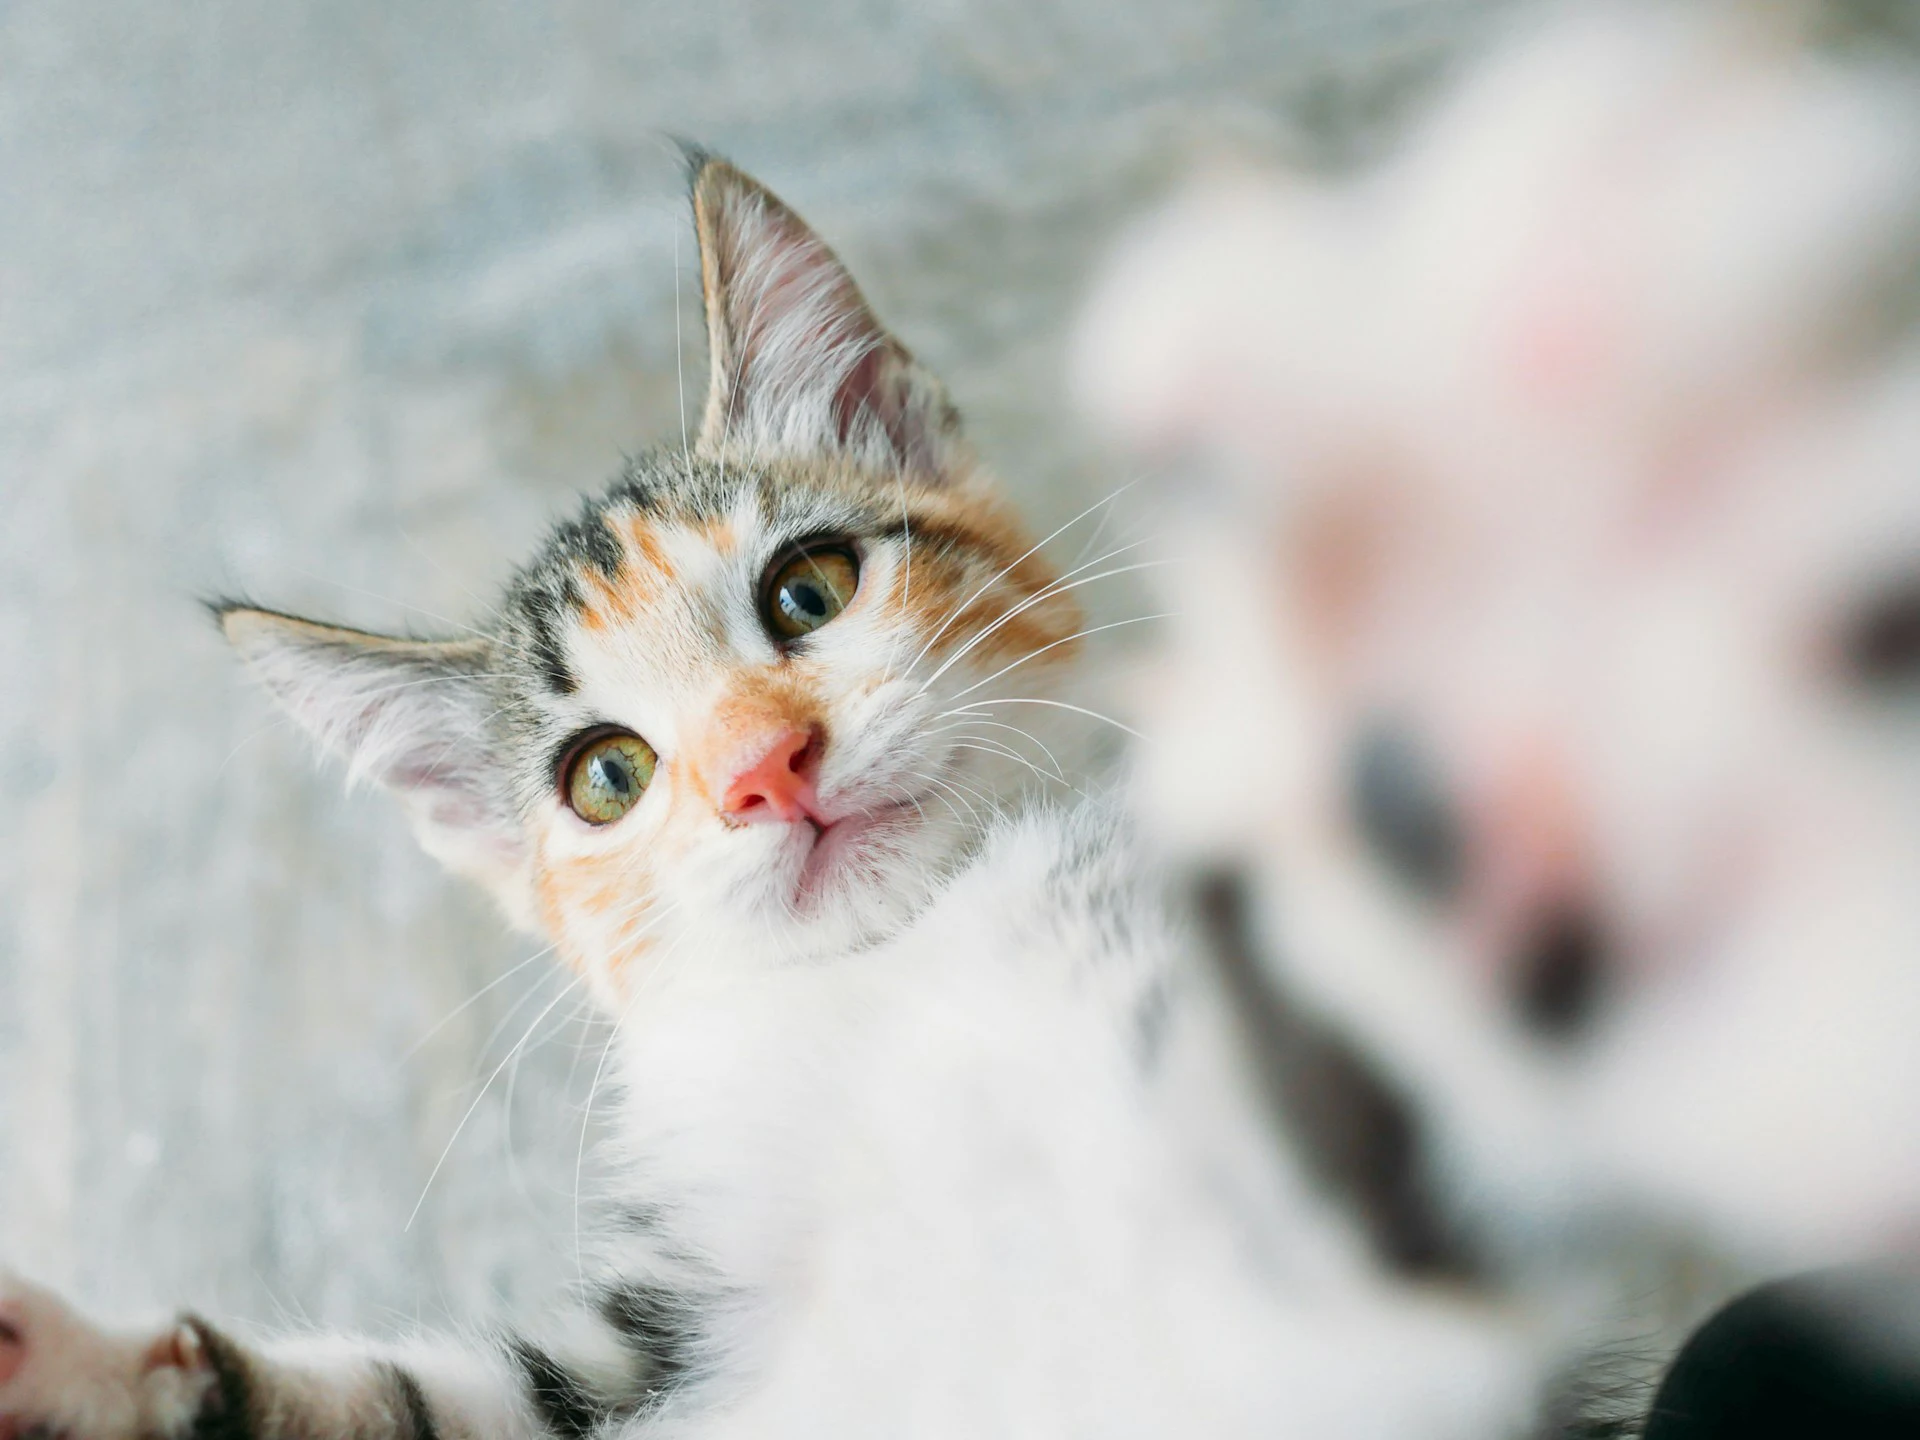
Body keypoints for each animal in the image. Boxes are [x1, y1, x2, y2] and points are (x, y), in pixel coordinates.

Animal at [0, 157, 1536, 1440]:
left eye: (810, 589)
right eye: (606, 775)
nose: (761, 768)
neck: (890, 966)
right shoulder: (664, 1347)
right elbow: (414, 1399)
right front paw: (80, 1368)